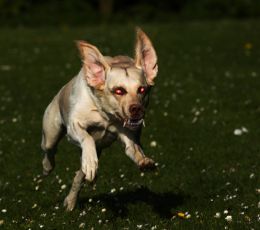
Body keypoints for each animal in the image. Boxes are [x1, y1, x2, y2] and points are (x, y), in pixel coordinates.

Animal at [41, 27, 158, 210]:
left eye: (142, 89)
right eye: (119, 91)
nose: (136, 109)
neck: (106, 115)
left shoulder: (128, 135)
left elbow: (134, 149)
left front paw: (144, 161)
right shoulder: (74, 127)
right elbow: (86, 138)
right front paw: (89, 160)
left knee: (79, 176)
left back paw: (71, 200)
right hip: (51, 134)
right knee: (49, 150)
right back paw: (49, 167)